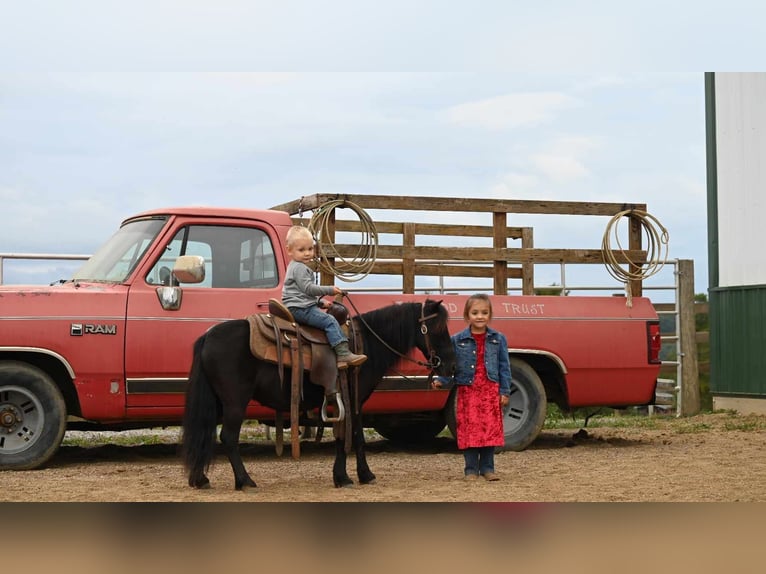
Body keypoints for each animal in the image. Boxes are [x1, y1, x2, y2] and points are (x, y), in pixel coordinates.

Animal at [180, 300, 456, 492]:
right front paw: (349, 477)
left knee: (204, 433)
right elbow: (350, 437)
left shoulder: (353, 402)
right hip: (235, 402)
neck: (366, 343)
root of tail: (208, 336)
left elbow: (353, 437)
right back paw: (245, 481)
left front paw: (357, 475)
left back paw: (200, 479)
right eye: (437, 328)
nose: (452, 366)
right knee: (228, 437)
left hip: (217, 401)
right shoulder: (352, 399)